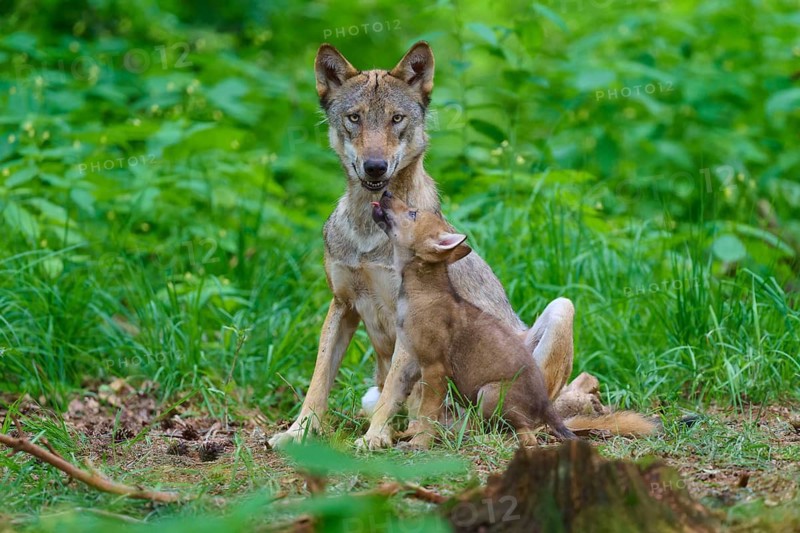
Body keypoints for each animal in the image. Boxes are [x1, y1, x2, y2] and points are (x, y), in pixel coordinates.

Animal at [268, 41, 656, 450]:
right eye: (354, 118)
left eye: (396, 119)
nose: (375, 167)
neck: (368, 235)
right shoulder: (342, 305)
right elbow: (318, 383)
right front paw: (297, 433)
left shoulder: (408, 324)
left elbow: (390, 391)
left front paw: (373, 438)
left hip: (561, 310)